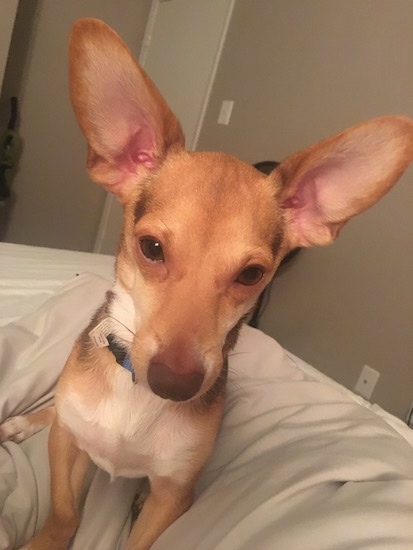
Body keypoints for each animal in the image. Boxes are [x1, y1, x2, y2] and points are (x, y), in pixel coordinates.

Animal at [0, 17, 412, 550]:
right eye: (151, 247)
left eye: (252, 275)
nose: (174, 384)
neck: (134, 399)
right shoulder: (66, 449)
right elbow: (64, 512)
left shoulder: (174, 496)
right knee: (55, 414)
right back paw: (21, 421)